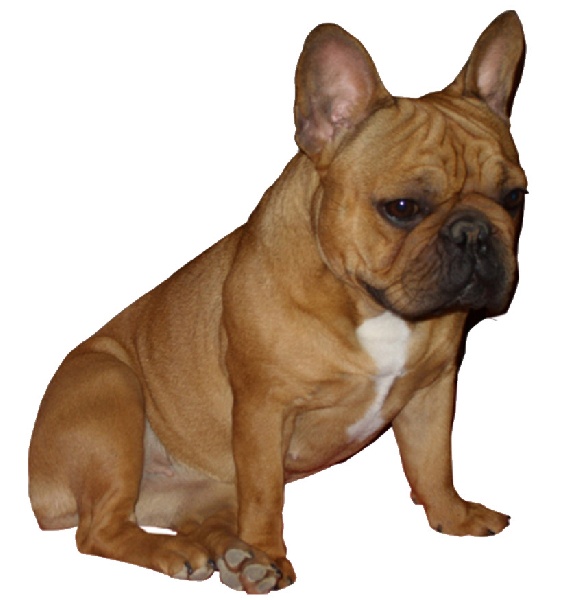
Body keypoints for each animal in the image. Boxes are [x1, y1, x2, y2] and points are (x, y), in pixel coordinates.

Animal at [29, 11, 526, 593]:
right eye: (402, 207)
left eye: (514, 198)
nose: (474, 232)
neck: (369, 305)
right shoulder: (263, 409)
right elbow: (266, 493)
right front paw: (270, 551)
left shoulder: (431, 390)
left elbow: (433, 463)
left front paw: (453, 517)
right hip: (112, 392)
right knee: (99, 530)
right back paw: (193, 554)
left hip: (204, 490)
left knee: (198, 521)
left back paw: (233, 557)